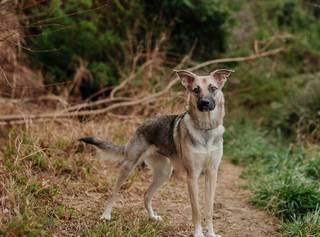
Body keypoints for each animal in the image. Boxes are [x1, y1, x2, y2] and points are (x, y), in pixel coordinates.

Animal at [80, 69, 232, 237]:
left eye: (213, 88)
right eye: (196, 90)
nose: (205, 103)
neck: (205, 129)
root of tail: (141, 125)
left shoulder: (212, 173)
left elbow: (209, 209)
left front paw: (210, 233)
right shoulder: (192, 176)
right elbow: (197, 211)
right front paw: (198, 233)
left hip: (164, 173)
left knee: (146, 195)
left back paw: (152, 217)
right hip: (128, 166)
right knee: (114, 192)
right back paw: (106, 215)